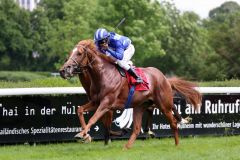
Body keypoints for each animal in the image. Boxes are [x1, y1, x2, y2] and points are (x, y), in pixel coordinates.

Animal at [59, 39, 202, 149]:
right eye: (70, 53)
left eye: (79, 53)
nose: (63, 70)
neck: (103, 75)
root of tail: (164, 78)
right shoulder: (96, 102)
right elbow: (80, 110)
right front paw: (85, 135)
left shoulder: (106, 104)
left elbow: (94, 119)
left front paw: (82, 135)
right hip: (140, 106)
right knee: (137, 128)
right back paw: (126, 147)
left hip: (163, 104)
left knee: (172, 122)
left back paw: (176, 144)